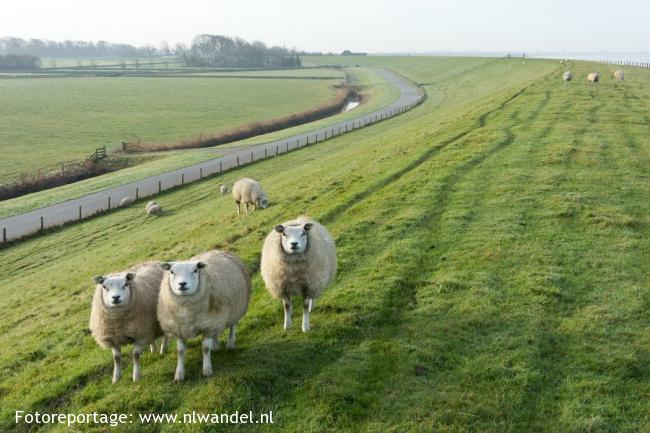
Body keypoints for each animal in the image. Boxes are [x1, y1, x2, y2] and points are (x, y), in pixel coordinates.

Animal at [156, 250, 249, 382]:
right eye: (172, 272)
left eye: (195, 270)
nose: (182, 284)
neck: (187, 312)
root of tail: (217, 250)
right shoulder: (179, 329)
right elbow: (180, 352)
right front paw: (179, 374)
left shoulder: (209, 326)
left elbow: (205, 348)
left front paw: (207, 370)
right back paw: (215, 346)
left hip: (235, 309)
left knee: (232, 326)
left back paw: (230, 344)